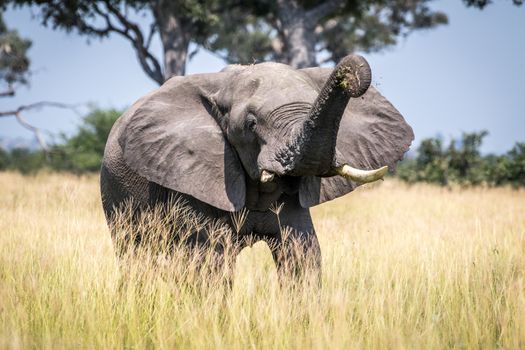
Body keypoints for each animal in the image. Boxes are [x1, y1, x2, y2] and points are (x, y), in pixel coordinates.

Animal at [100, 54, 414, 282]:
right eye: (251, 125)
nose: (348, 76)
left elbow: (303, 255)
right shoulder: (193, 178)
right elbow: (212, 260)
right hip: (115, 193)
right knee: (136, 256)